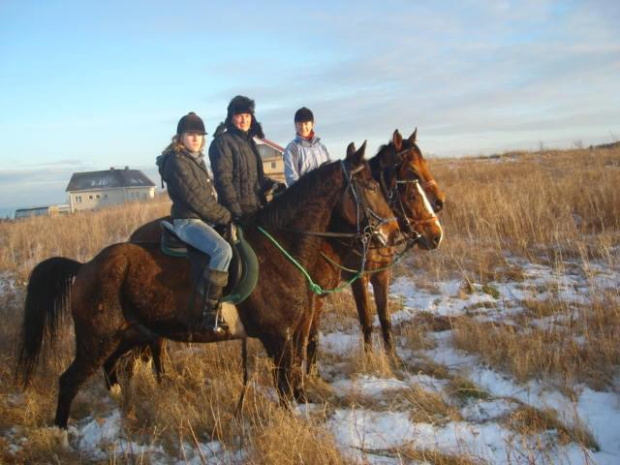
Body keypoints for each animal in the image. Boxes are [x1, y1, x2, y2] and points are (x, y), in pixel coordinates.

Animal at [19, 143, 400, 426]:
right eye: (369, 186)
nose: (394, 234)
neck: (281, 247)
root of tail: (85, 267)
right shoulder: (278, 337)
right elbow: (284, 389)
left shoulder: (293, 334)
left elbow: (292, 380)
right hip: (96, 340)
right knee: (69, 381)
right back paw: (62, 436)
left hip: (127, 336)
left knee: (114, 368)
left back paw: (124, 408)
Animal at [306, 128, 446, 374]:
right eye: (412, 170)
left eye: (426, 164)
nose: (436, 235)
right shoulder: (358, 278)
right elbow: (367, 320)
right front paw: (370, 364)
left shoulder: (382, 274)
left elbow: (385, 318)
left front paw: (394, 359)